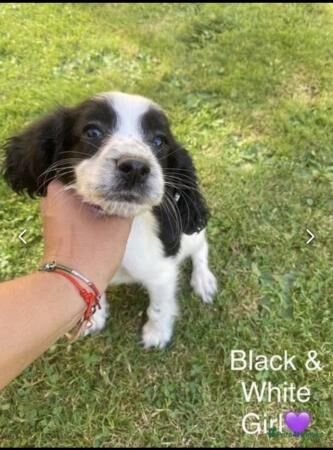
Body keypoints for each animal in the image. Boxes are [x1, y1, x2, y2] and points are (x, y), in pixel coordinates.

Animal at [3, 92, 217, 348]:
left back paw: (203, 280)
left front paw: (157, 334)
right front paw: (94, 317)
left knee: (201, 248)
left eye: (159, 141)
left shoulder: (162, 273)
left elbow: (159, 307)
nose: (135, 167)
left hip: (190, 238)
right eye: (92, 132)